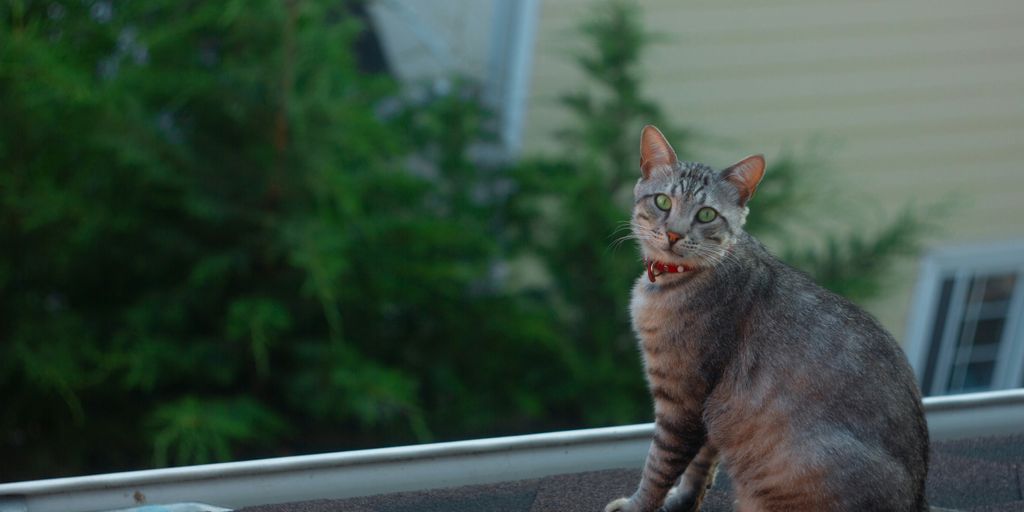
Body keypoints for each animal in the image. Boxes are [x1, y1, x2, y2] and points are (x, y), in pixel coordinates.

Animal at [598, 124, 929, 512]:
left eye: (706, 214)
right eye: (663, 201)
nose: (675, 233)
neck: (676, 280)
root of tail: (918, 500)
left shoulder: (684, 402)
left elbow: (658, 469)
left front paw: (636, 506)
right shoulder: (711, 411)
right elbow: (700, 467)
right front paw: (683, 501)